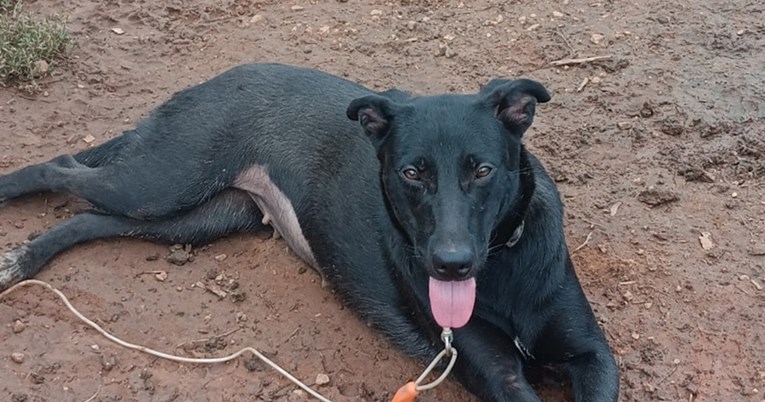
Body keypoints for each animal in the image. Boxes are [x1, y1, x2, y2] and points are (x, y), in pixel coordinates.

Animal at [0, 64, 616, 400]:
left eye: (482, 170)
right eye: (411, 173)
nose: (451, 264)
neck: (503, 267)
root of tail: (219, 78)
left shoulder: (593, 356)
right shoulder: (493, 372)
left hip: (199, 217)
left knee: (90, 216)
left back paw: (26, 257)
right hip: (162, 181)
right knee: (60, 166)